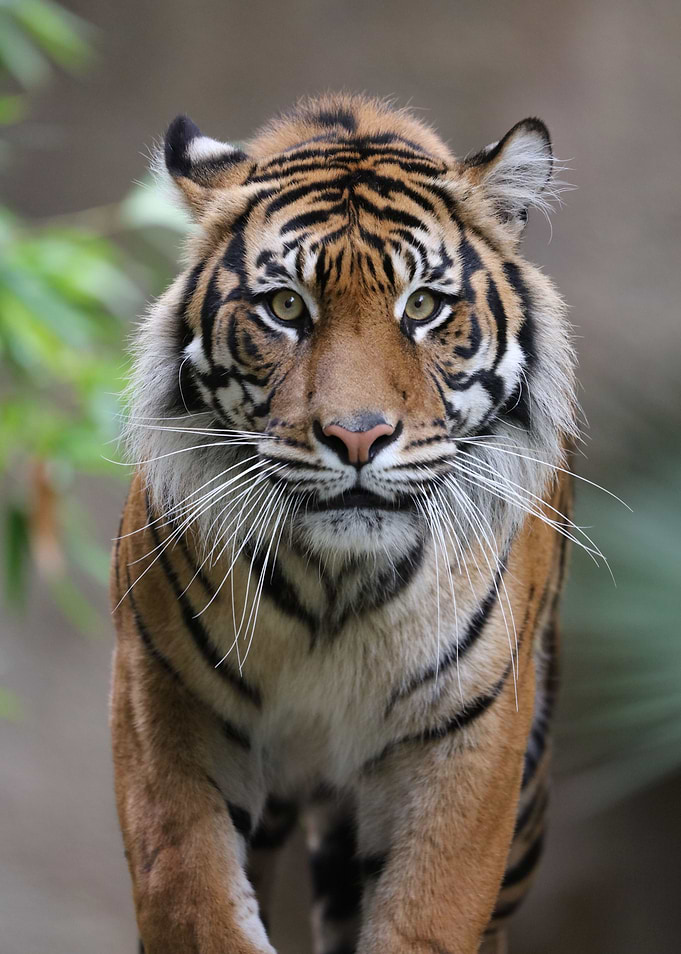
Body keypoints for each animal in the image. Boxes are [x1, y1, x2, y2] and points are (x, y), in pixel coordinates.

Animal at [110, 93, 578, 954]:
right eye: (286, 307)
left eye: (422, 306)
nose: (356, 437)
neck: (335, 586)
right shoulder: (162, 702)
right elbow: (194, 898)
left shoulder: (467, 738)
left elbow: (427, 917)